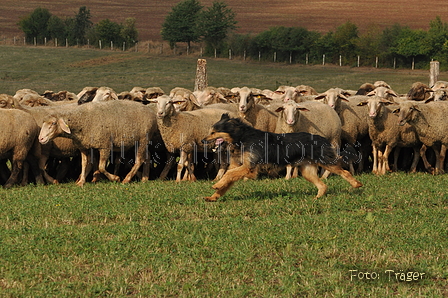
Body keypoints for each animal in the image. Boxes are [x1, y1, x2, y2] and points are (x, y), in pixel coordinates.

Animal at [201, 114, 362, 203]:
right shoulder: (238, 167)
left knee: (344, 171)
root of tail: (321, 138)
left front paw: (216, 185)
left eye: (214, 132)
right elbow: (227, 180)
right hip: (307, 171)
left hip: (325, 161)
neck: (241, 138)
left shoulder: (249, 168)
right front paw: (214, 196)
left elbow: (228, 174)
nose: (202, 141)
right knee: (323, 185)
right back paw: (317, 198)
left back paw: (356, 184)